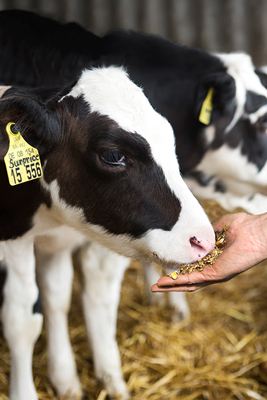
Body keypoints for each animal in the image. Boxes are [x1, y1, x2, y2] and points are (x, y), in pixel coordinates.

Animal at [0, 66, 216, 400]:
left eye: (170, 140)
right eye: (113, 154)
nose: (203, 240)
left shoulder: (57, 240)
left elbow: (57, 298)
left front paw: (65, 378)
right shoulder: (14, 239)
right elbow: (22, 320)